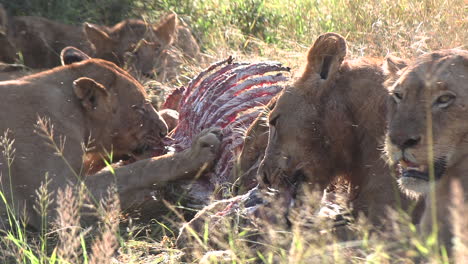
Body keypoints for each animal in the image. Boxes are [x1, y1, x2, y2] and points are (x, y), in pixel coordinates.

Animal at [0, 48, 222, 231]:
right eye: (138, 109)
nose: (163, 131)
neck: (74, 113)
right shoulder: (54, 200)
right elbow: (135, 171)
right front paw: (196, 154)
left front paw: (170, 116)